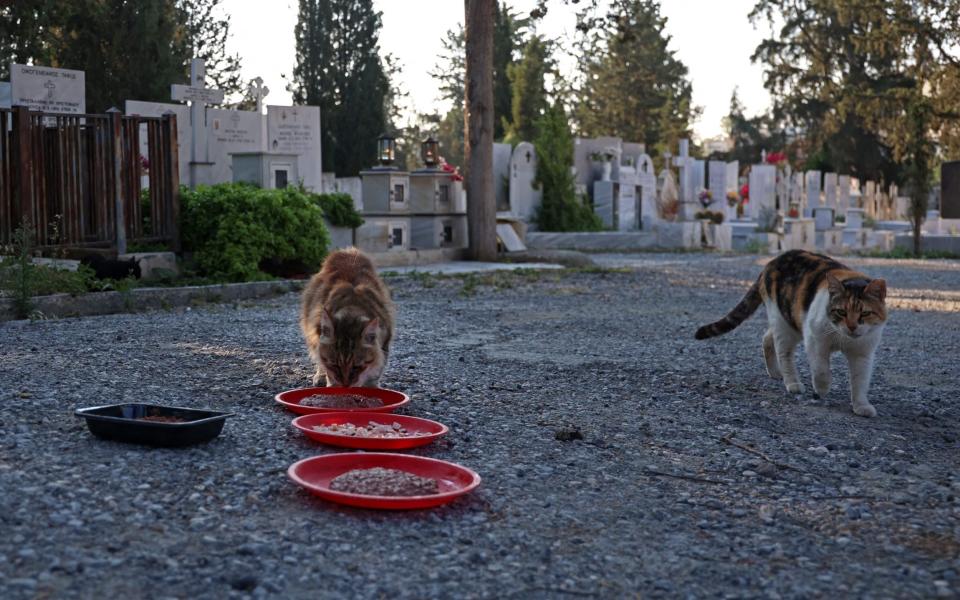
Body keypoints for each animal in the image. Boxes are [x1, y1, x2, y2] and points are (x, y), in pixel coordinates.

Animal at [298, 248, 392, 390]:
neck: (351, 307)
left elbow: (375, 371)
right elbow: (326, 368)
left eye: (356, 367)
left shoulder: (385, 342)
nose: (345, 384)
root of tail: (347, 251)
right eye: (335, 365)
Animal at [692, 252, 888, 418]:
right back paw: (792, 382)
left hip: (789, 322)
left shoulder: (863, 354)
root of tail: (772, 262)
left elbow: (860, 380)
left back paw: (775, 372)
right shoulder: (814, 340)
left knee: (767, 337)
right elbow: (821, 370)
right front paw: (822, 388)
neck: (842, 338)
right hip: (784, 324)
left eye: (865, 313)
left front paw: (861, 405)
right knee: (783, 353)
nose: (852, 326)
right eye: (841, 312)